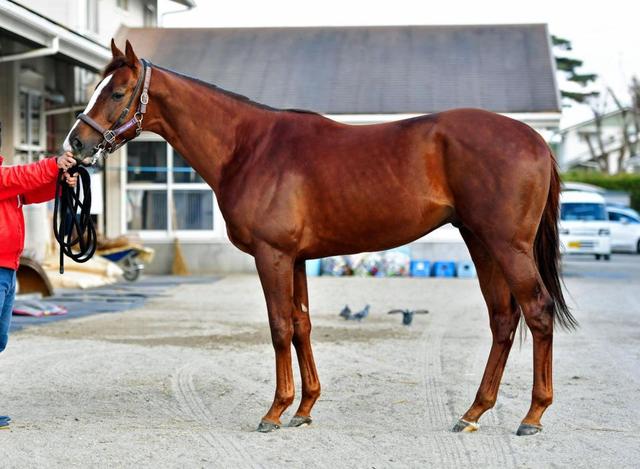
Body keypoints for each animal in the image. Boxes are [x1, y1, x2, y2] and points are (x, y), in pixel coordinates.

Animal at [63, 40, 576, 435]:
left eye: (117, 92)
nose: (76, 145)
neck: (249, 147)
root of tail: (535, 140)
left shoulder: (272, 256)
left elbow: (279, 327)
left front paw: (274, 412)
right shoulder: (296, 259)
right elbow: (302, 325)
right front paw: (305, 408)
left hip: (506, 246)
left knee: (537, 311)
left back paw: (532, 416)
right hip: (480, 243)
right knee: (503, 320)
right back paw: (473, 413)